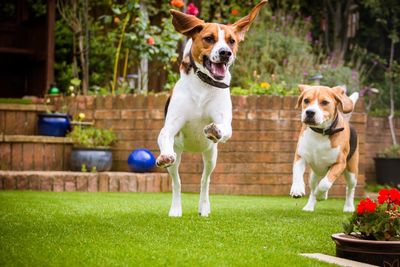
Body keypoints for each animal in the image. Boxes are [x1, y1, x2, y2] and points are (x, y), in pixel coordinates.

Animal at [155, 1, 266, 218]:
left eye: (231, 41)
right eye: (209, 39)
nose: (225, 53)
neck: (203, 85)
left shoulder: (226, 125)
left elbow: (223, 128)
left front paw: (214, 129)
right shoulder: (170, 129)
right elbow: (165, 135)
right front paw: (164, 155)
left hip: (211, 155)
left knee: (204, 181)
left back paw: (204, 207)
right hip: (178, 155)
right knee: (177, 182)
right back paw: (176, 208)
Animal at [290, 85, 360, 213]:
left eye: (324, 102)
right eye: (306, 100)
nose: (309, 112)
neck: (320, 132)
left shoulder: (339, 164)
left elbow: (325, 184)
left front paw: (321, 195)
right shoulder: (300, 156)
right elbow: (297, 174)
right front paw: (297, 189)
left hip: (351, 172)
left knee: (350, 189)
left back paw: (348, 207)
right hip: (313, 175)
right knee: (313, 189)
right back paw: (309, 206)